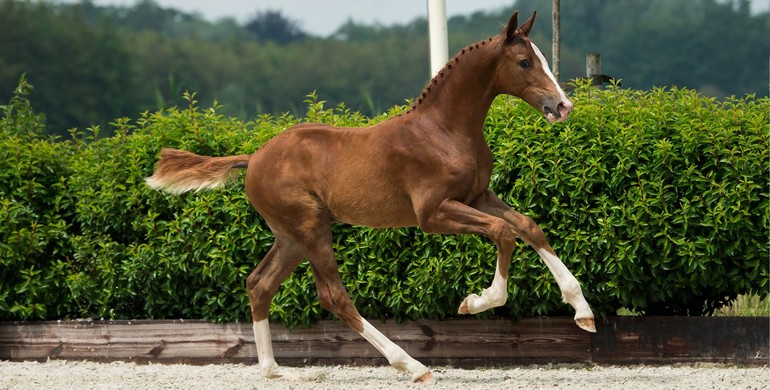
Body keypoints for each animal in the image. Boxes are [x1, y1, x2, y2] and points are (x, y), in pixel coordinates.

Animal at [148, 10, 592, 382]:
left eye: (542, 58)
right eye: (524, 62)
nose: (563, 105)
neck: (444, 130)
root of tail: (253, 157)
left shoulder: (478, 195)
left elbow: (528, 227)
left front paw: (582, 312)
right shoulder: (433, 214)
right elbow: (502, 233)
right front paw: (475, 301)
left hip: (290, 235)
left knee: (260, 284)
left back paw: (273, 370)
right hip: (310, 227)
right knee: (333, 297)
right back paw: (412, 366)